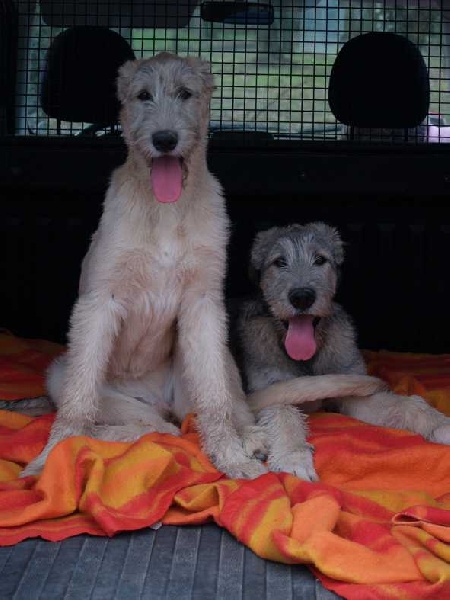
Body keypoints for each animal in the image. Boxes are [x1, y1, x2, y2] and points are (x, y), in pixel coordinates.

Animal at [22, 52, 271, 480]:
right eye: (142, 96)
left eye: (185, 93)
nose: (164, 139)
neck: (166, 210)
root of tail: (155, 397)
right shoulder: (98, 303)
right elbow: (77, 401)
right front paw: (52, 456)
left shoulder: (203, 305)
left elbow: (216, 399)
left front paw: (232, 456)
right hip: (67, 376)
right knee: (153, 426)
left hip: (201, 368)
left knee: (213, 405)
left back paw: (249, 438)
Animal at [235, 222, 450, 481]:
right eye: (279, 262)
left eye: (320, 259)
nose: (302, 297)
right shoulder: (274, 387)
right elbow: (284, 415)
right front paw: (293, 457)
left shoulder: (351, 385)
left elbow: (407, 404)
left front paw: (440, 424)